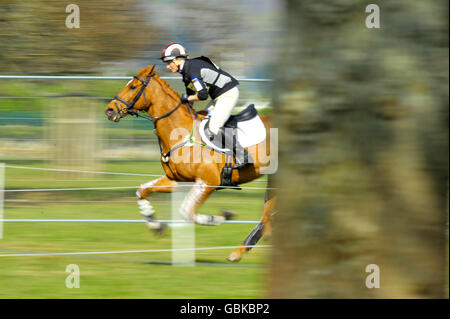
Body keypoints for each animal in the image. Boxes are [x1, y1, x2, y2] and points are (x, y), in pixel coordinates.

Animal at [104, 65, 276, 262]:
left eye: (133, 86)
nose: (109, 110)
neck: (181, 134)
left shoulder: (208, 182)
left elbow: (187, 212)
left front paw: (223, 216)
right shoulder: (177, 181)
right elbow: (142, 191)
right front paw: (156, 225)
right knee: (268, 213)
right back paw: (239, 251)